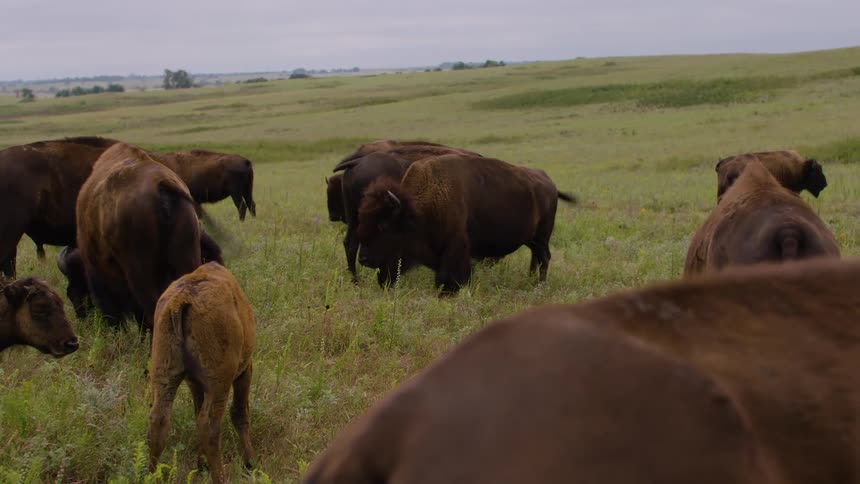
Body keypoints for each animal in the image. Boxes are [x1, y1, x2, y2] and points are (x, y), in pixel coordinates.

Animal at [148, 262, 255, 484]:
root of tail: (180, 302)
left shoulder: (194, 383)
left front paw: (201, 464)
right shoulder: (244, 370)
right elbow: (240, 412)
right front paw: (249, 463)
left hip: (164, 374)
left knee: (158, 419)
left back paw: (150, 476)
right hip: (219, 382)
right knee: (210, 425)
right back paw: (220, 477)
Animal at [356, 154, 576, 294]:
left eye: (382, 226)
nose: (363, 259)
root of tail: (549, 182)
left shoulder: (455, 245)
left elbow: (450, 274)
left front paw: (450, 291)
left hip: (542, 236)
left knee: (544, 258)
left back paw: (540, 286)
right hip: (531, 239)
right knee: (535, 257)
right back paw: (530, 280)